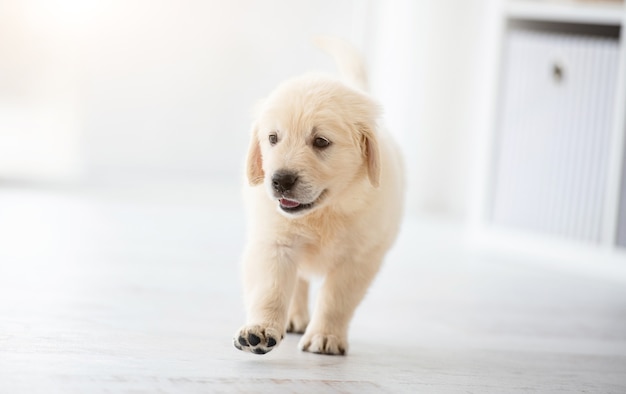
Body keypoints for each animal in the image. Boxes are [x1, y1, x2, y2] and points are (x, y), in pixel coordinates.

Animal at [232, 37, 402, 358]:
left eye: (321, 141)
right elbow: (270, 288)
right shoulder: (274, 242)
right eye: (273, 138)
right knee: (298, 282)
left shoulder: (359, 258)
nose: (280, 180)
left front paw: (326, 336)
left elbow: (336, 299)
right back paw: (294, 318)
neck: (325, 211)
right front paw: (260, 329)